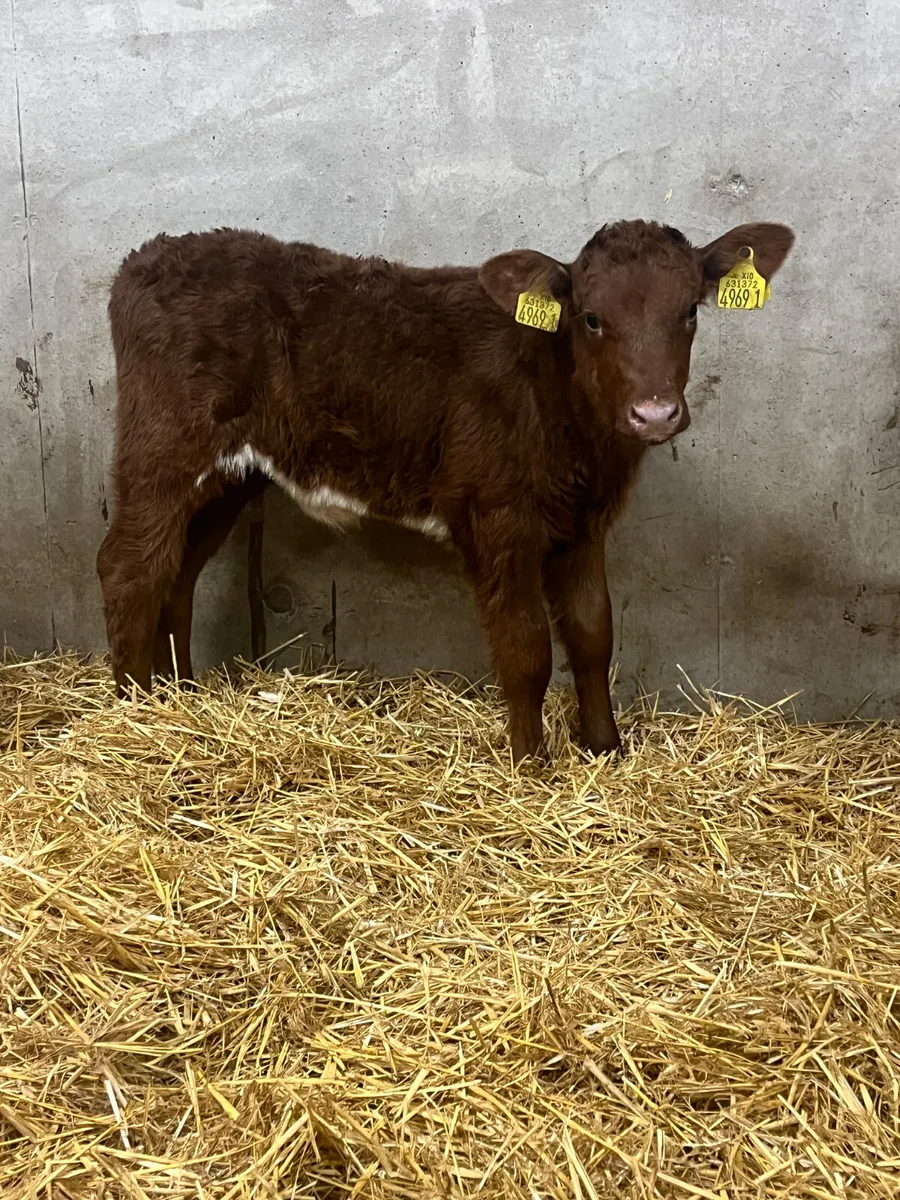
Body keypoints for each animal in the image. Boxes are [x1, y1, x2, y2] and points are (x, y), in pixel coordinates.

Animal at [97, 218, 794, 762]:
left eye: (690, 311)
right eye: (592, 319)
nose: (654, 414)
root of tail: (147, 256)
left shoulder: (583, 521)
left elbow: (594, 634)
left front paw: (605, 751)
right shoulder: (496, 515)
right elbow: (527, 647)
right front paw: (532, 764)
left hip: (230, 476)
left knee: (177, 571)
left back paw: (180, 698)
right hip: (164, 447)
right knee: (129, 566)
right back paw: (135, 713)